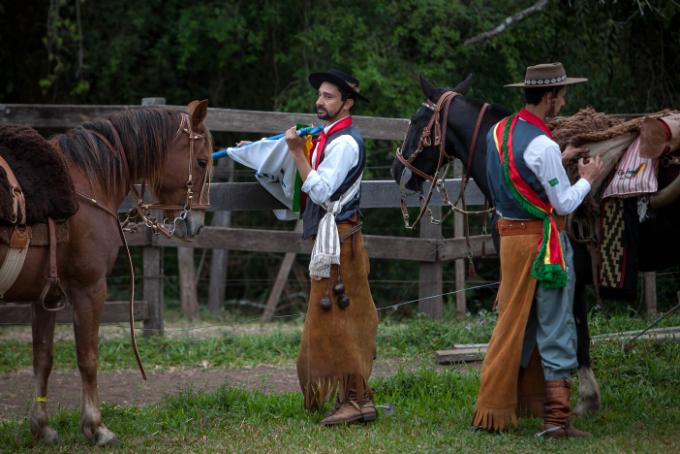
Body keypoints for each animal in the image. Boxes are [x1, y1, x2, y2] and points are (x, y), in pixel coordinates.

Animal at [2, 100, 213, 446]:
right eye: (202, 160)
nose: (195, 224)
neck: (84, 183)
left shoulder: (46, 296)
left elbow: (42, 358)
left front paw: (42, 427)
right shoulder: (89, 288)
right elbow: (87, 357)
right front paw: (96, 427)